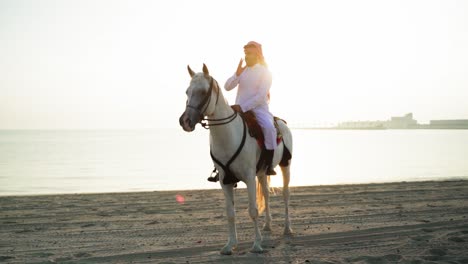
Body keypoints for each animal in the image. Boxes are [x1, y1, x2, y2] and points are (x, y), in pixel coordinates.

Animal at [179, 63, 292, 254]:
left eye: (203, 92)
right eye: (187, 91)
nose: (185, 121)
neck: (229, 134)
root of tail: (280, 122)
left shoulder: (249, 178)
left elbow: (253, 210)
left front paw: (257, 244)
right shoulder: (225, 181)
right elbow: (230, 213)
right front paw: (229, 245)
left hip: (286, 165)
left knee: (285, 194)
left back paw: (287, 228)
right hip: (262, 173)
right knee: (266, 193)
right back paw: (268, 225)